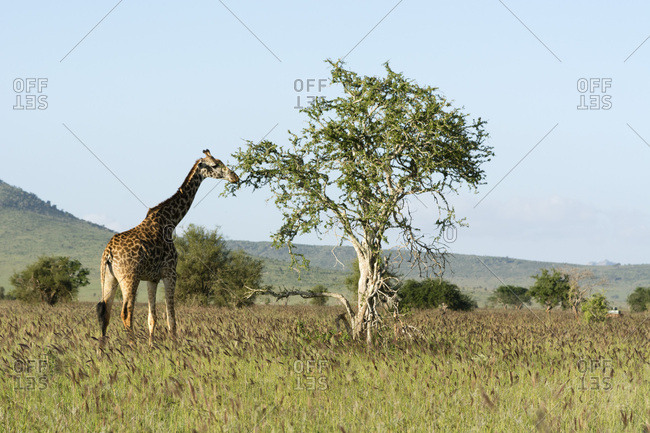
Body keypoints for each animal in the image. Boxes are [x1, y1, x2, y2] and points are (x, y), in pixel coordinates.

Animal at [96, 149, 239, 347]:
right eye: (215, 165)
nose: (235, 177)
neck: (170, 220)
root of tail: (108, 253)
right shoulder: (170, 272)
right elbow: (171, 318)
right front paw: (175, 347)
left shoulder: (152, 278)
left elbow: (152, 317)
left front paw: (152, 346)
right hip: (129, 277)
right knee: (126, 312)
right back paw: (132, 348)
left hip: (108, 277)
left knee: (105, 312)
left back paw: (101, 352)